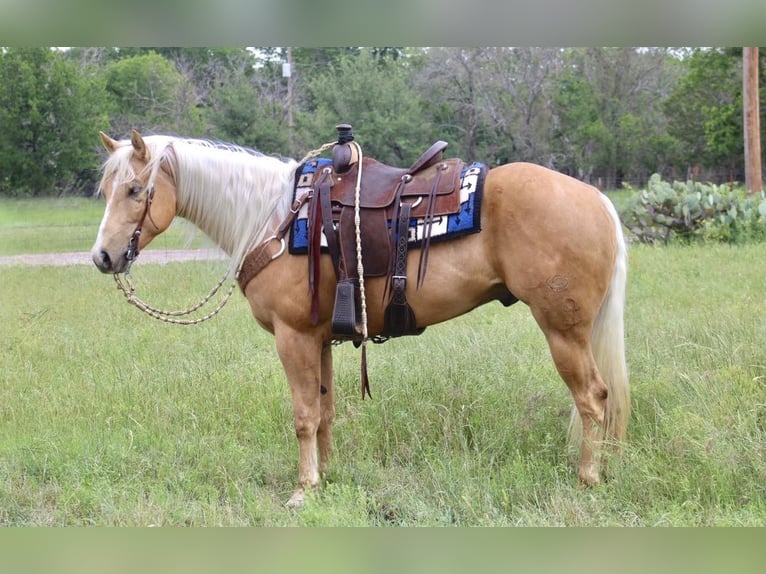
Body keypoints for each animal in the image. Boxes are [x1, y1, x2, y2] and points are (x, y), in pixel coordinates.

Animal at [91, 130, 632, 508]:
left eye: (135, 190)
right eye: (106, 190)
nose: (103, 257)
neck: (274, 218)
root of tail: (597, 198)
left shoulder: (293, 337)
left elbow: (304, 416)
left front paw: (302, 489)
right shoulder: (319, 338)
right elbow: (325, 411)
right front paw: (325, 478)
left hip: (563, 332)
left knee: (593, 398)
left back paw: (588, 478)